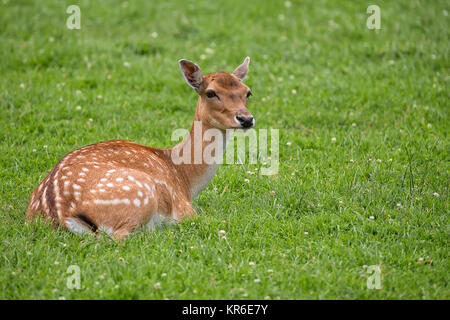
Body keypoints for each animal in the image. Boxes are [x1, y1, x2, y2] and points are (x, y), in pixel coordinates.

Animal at [26, 57, 255, 238]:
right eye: (211, 93)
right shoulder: (184, 208)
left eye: (247, 92)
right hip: (140, 193)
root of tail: (59, 214)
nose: (246, 119)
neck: (184, 179)